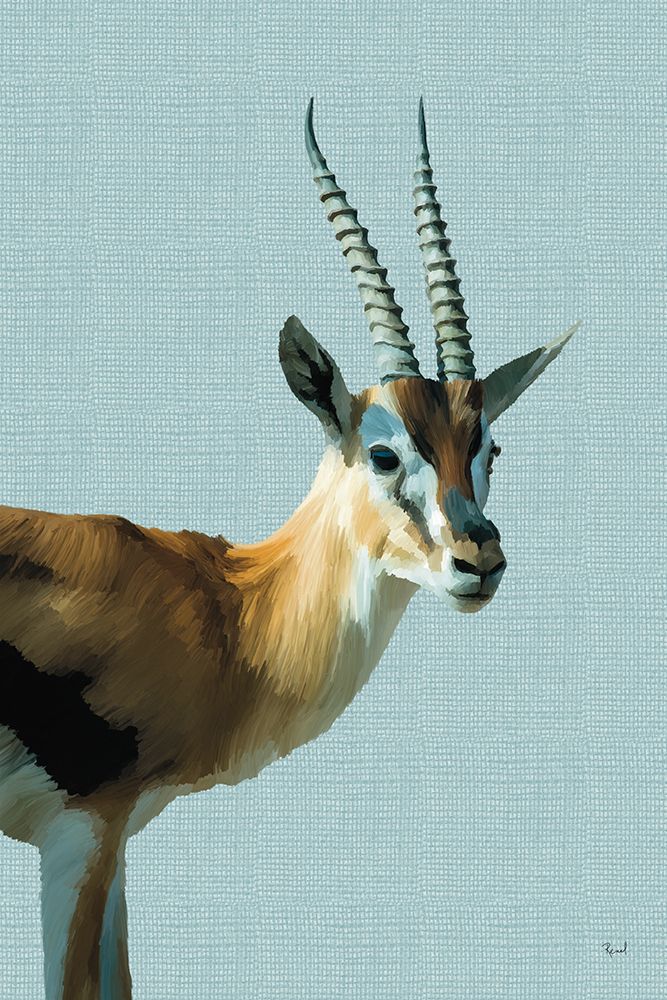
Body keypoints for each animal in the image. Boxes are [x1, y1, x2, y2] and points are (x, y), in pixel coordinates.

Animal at [0, 99, 578, 1000]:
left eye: (490, 447)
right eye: (383, 453)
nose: (478, 563)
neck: (228, 610)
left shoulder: (117, 839)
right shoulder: (79, 833)